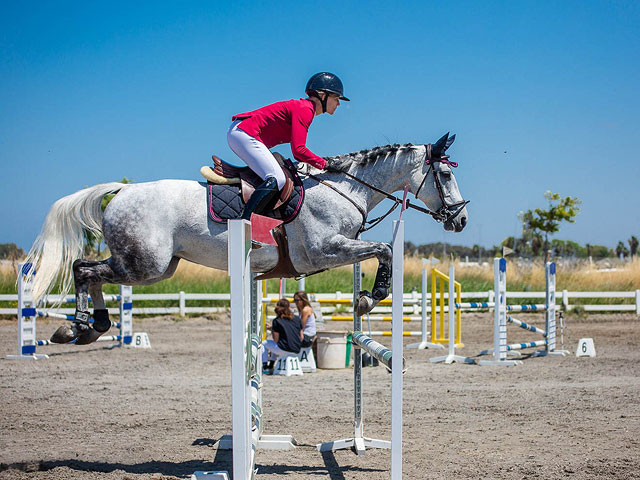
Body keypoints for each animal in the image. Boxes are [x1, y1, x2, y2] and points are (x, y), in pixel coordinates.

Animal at [25, 131, 468, 344]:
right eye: (445, 174)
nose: (460, 219)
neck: (343, 188)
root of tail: (121, 191)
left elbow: (381, 249)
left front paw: (365, 297)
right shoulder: (323, 252)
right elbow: (385, 249)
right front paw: (367, 298)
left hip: (155, 268)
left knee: (90, 271)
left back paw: (90, 327)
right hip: (144, 266)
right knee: (84, 269)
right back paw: (78, 327)